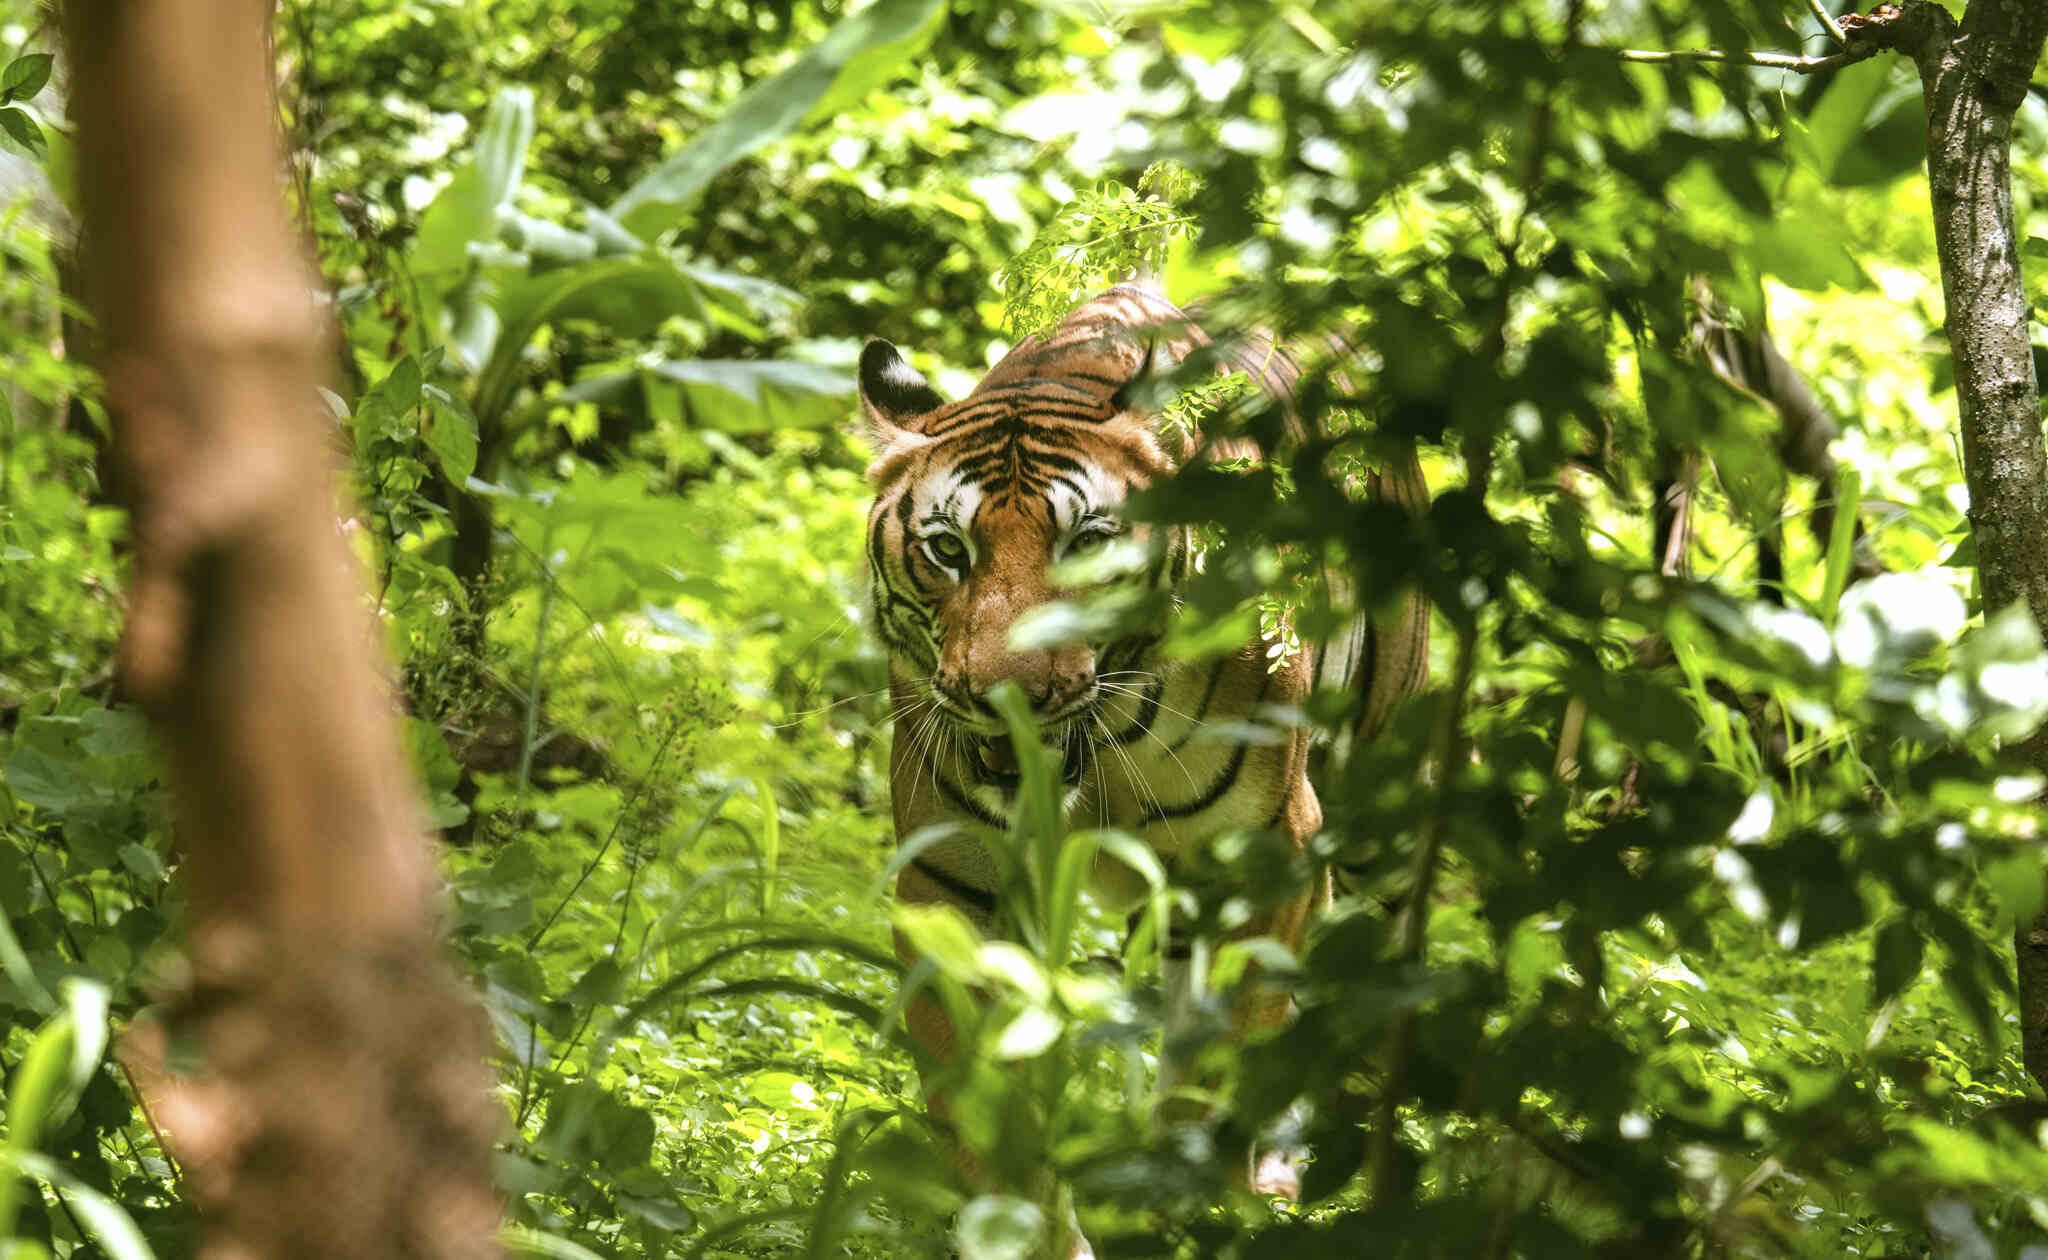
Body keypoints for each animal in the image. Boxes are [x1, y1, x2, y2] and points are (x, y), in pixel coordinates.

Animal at [857, 281, 1428, 1237]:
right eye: (947, 550)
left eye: (1087, 543)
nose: (1007, 695)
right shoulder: (952, 884)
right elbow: (989, 1111)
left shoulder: (1256, 862)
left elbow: (1219, 1075)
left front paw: (1197, 1214)